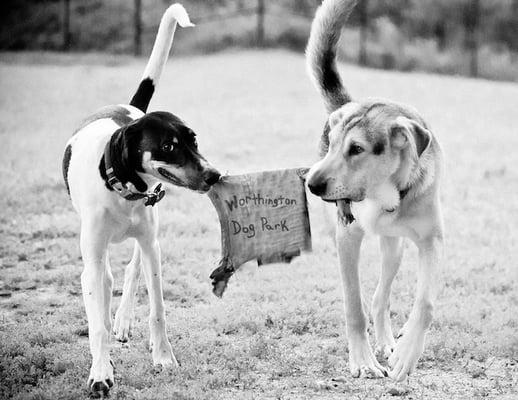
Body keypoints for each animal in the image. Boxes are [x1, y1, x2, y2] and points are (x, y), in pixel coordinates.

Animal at [61, 3, 219, 396]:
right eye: (168, 147)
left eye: (194, 139)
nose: (214, 175)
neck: (124, 189)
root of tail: (128, 110)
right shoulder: (92, 258)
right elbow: (95, 322)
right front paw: (100, 372)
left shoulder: (152, 246)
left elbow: (158, 309)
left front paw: (163, 357)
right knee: (105, 280)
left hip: (149, 233)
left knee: (132, 268)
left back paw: (122, 320)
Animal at [306, 0, 444, 382]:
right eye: (333, 145)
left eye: (357, 149)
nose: (311, 183)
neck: (384, 195)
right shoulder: (347, 238)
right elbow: (354, 306)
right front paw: (363, 361)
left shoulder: (431, 241)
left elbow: (425, 303)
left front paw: (408, 353)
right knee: (371, 299)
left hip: (394, 248)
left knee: (381, 298)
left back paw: (387, 342)